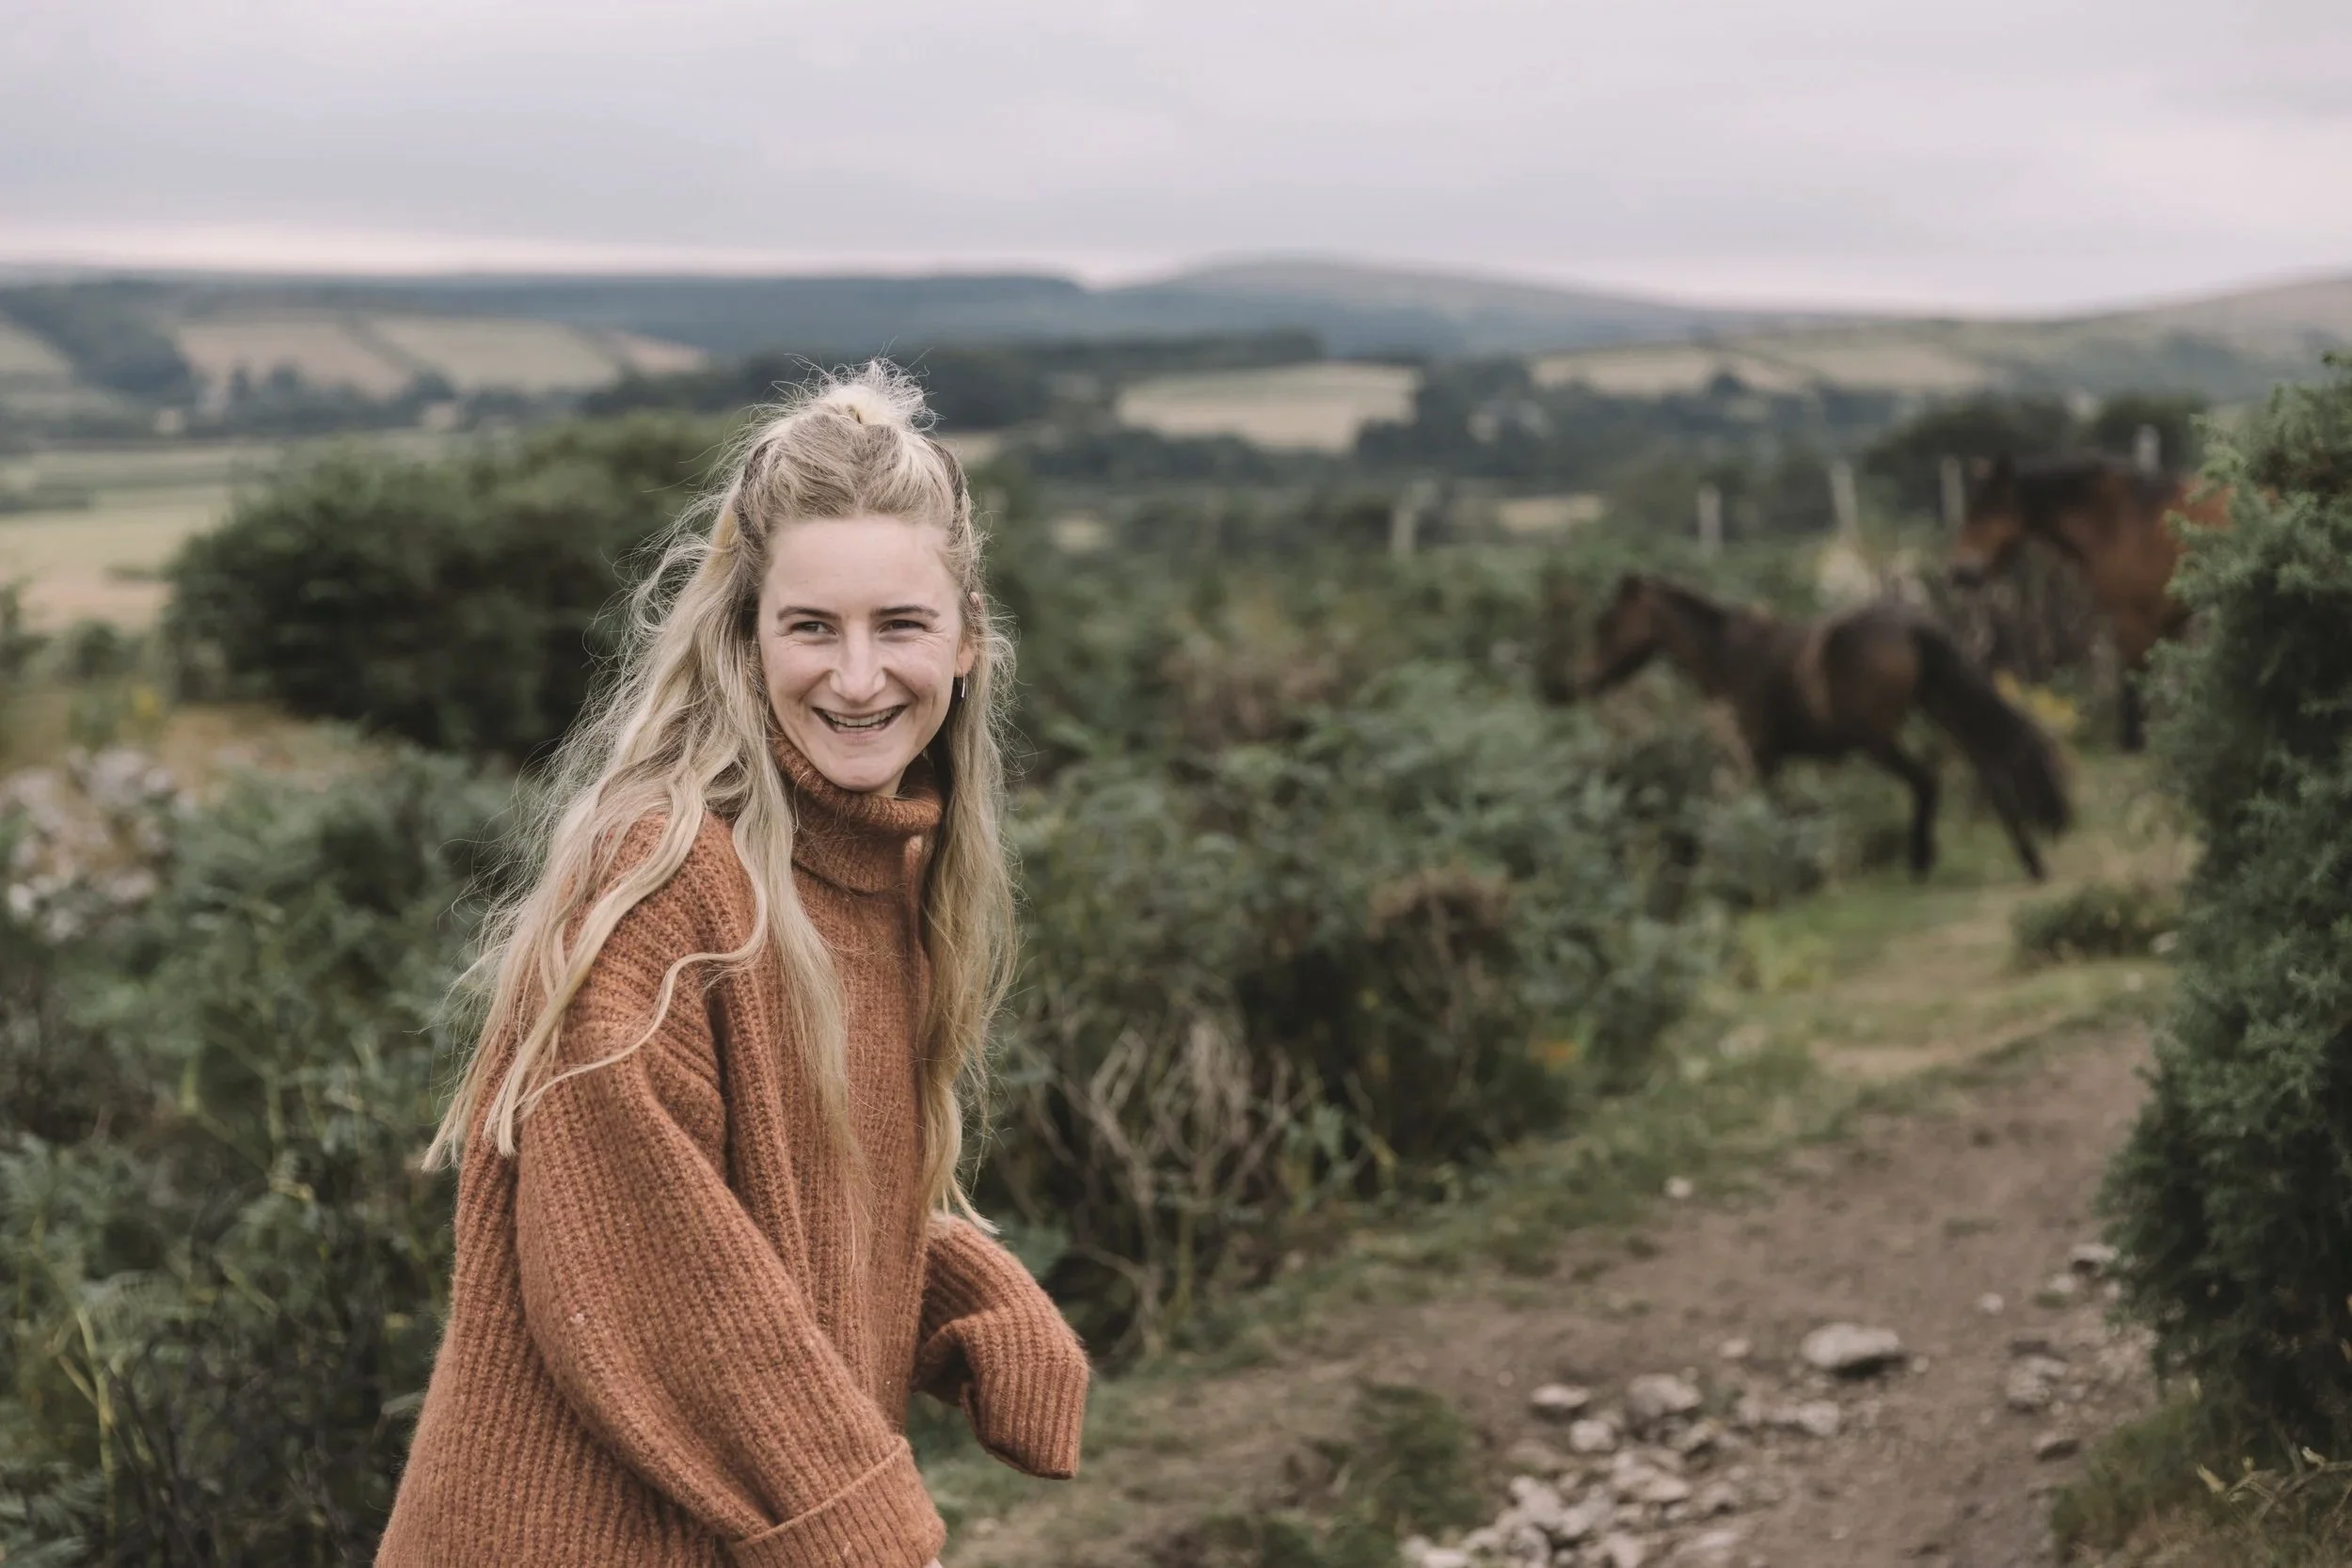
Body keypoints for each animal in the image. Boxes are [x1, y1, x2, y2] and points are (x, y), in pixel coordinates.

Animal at [1551, 573, 2071, 880]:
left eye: (1607, 623)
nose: (1583, 680)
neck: (1728, 656)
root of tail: (1912, 626)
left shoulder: (1759, 755)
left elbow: (1773, 815)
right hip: (1939, 707)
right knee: (1991, 765)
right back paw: (2029, 860)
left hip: (1878, 739)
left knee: (1928, 781)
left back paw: (1922, 860)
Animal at [1949, 453, 2230, 751]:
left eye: (1988, 511)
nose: (1959, 572)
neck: (2118, 521)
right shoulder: (2168, 625)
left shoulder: (2132, 622)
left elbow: (2132, 681)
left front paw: (2132, 743)